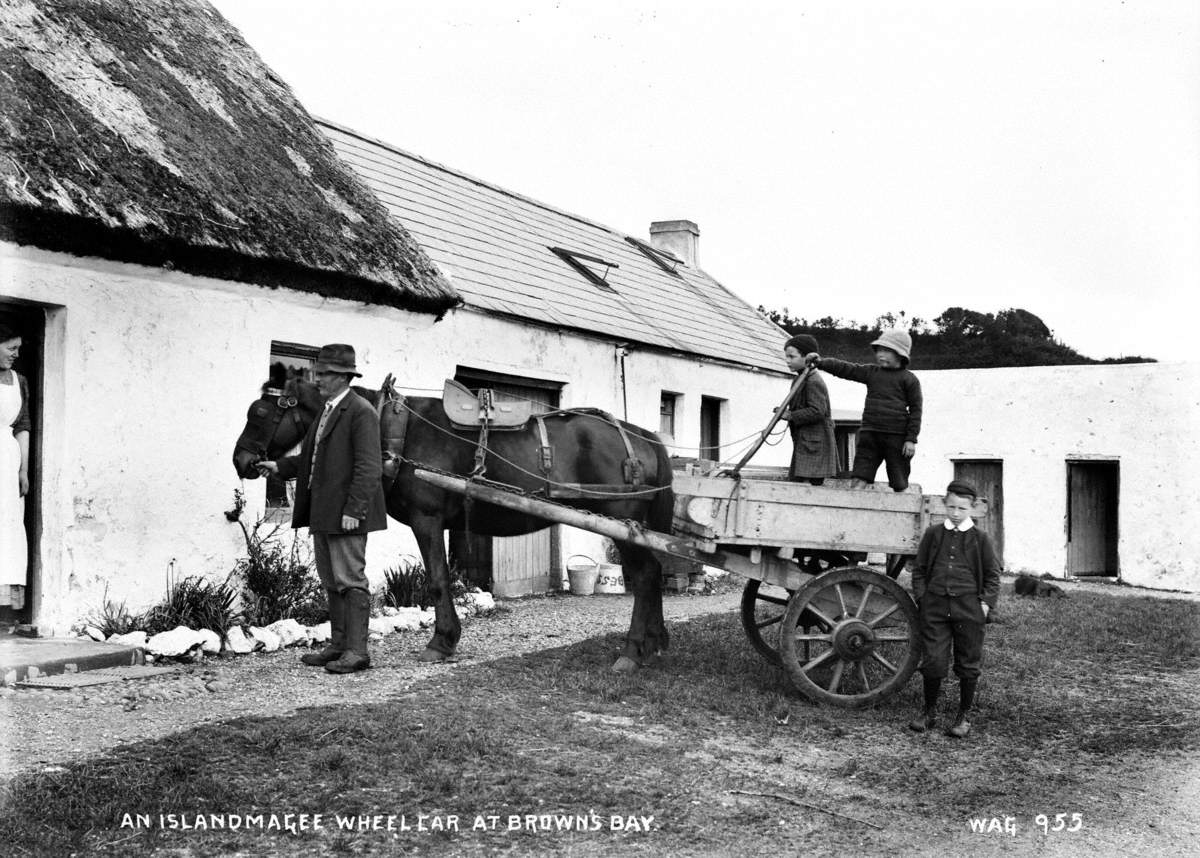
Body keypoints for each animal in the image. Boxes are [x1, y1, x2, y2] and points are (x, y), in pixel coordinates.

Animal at [229, 376, 672, 672]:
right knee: (653, 573)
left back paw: (632, 651)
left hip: (624, 523)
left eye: (260, 412)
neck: (394, 429)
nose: (242, 459)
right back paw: (654, 642)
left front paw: (442, 642)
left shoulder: (427, 520)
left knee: (645, 576)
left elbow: (438, 579)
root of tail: (642, 435)